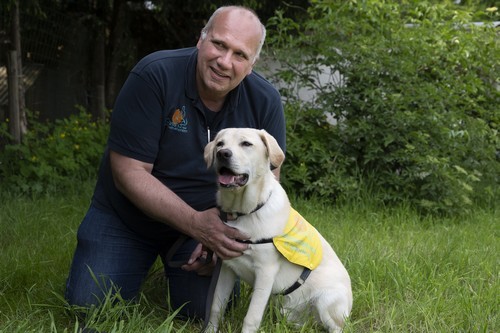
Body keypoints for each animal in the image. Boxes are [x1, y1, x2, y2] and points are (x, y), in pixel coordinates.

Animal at [203, 127, 352, 332]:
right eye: (220, 144)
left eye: (246, 144)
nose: (222, 154)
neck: (243, 212)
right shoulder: (227, 266)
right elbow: (216, 307)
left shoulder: (266, 272)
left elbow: (251, 318)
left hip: (327, 300)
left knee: (336, 327)